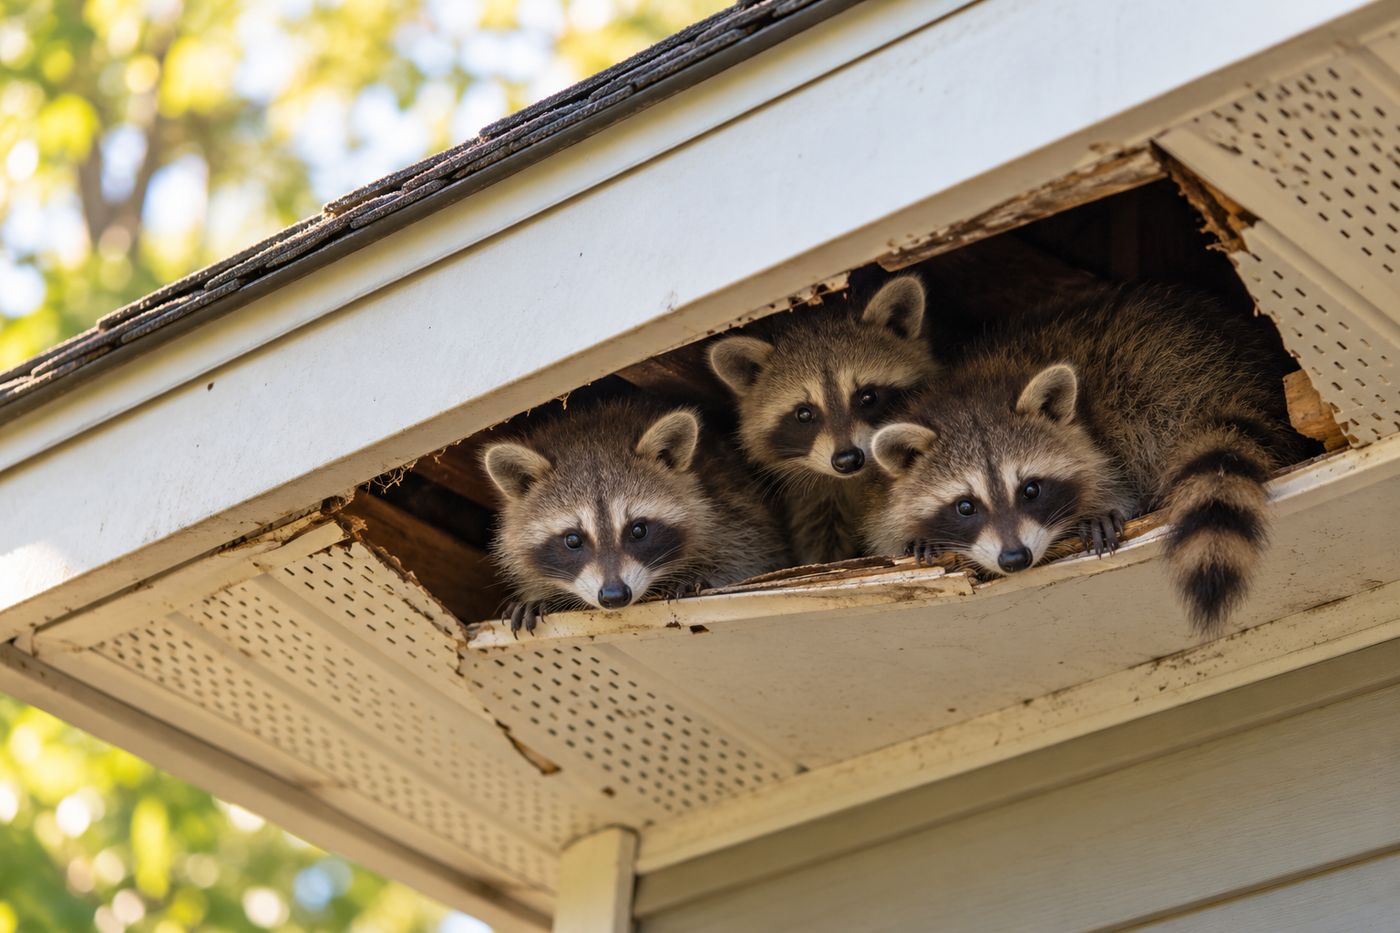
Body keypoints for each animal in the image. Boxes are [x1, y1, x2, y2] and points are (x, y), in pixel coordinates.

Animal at [481, 398, 791, 634]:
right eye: (572, 540)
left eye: (638, 530)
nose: (614, 595)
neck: (591, 436)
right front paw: (541, 596)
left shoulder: (730, 502)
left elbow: (751, 554)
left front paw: (704, 574)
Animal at [865, 283, 1301, 634]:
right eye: (965, 506)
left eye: (1031, 489)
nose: (1015, 558)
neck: (969, 391)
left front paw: (1104, 506)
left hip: (1158, 380)